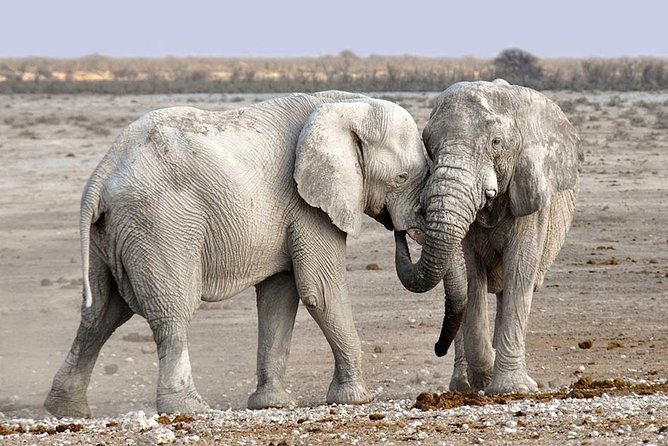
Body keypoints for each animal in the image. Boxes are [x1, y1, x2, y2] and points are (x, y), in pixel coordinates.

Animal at [44, 90, 429, 417]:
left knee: (101, 313)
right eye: (401, 177)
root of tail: (102, 172)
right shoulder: (309, 205)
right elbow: (320, 290)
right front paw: (358, 398)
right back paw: (190, 409)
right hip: (159, 225)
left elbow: (279, 297)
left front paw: (272, 405)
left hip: (112, 233)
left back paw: (67, 411)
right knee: (172, 312)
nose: (401, 231)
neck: (345, 105)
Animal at [394, 80, 582, 394]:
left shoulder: (530, 193)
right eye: (428, 145)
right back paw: (463, 385)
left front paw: (512, 389)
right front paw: (487, 375)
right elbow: (471, 276)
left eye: (496, 143)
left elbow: (520, 269)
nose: (400, 229)